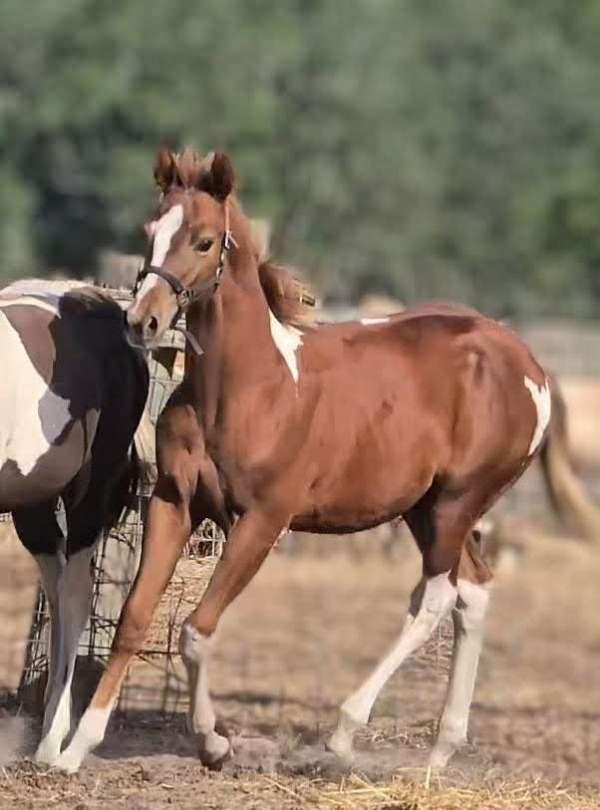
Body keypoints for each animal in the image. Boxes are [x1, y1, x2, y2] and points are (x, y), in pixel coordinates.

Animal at [58, 148, 552, 772]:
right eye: (151, 232)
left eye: (203, 241)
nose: (142, 321)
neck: (249, 388)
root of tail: (528, 365)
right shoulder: (174, 502)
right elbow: (134, 619)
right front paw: (75, 749)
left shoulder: (264, 521)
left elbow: (197, 630)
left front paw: (214, 743)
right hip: (425, 509)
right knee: (474, 589)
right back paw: (439, 753)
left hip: (458, 502)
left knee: (437, 596)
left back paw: (344, 732)